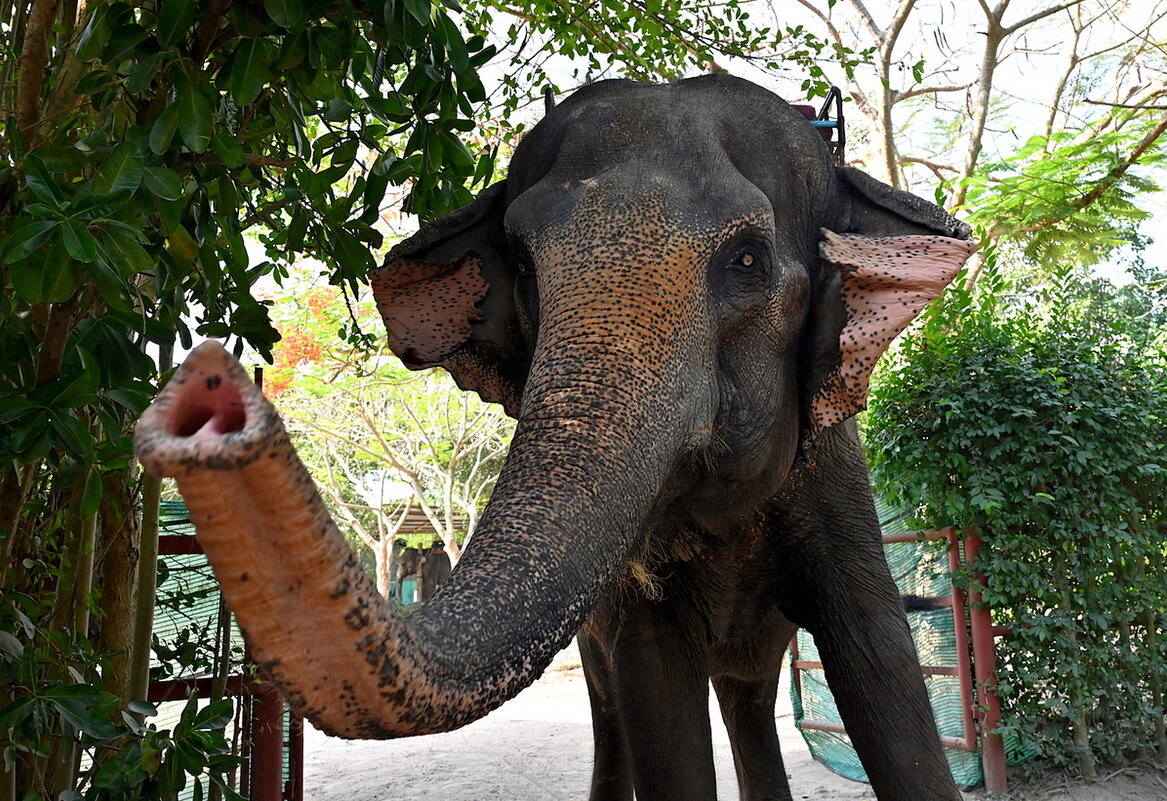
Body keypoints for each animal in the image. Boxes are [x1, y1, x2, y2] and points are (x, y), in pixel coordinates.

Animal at [134, 74, 973, 800]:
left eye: (746, 259)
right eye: (524, 269)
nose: (213, 389)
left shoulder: (833, 475)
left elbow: (881, 666)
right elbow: (653, 690)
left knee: (744, 694)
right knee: (623, 711)